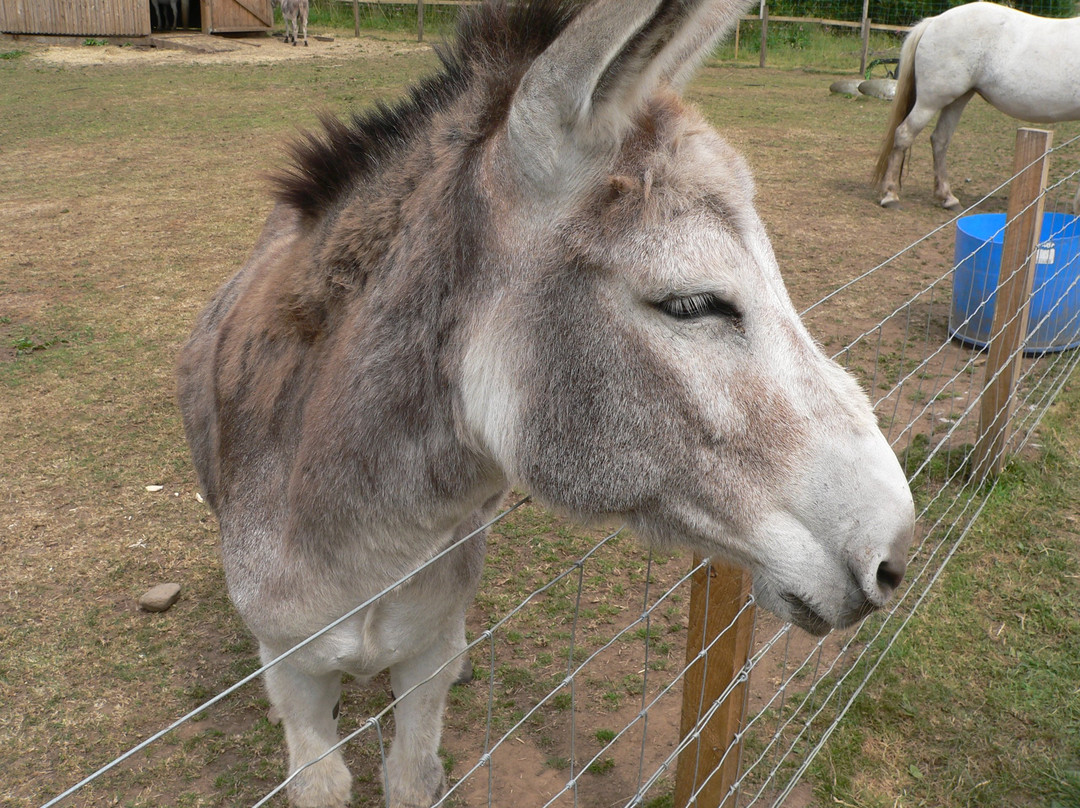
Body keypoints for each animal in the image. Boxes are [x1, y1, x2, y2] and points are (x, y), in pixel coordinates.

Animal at [174, 1, 911, 808]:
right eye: (691, 304)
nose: (896, 555)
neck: (366, 542)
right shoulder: (291, 668)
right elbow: (320, 779)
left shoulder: (423, 659)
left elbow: (413, 771)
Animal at [872, 1, 1080, 209]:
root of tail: (935, 21)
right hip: (930, 102)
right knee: (904, 134)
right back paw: (890, 195)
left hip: (957, 100)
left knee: (940, 140)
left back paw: (948, 197)